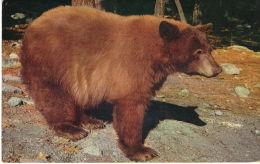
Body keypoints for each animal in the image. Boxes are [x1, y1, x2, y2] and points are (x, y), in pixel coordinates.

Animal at [20, 5, 221, 161]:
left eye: (209, 49)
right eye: (198, 51)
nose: (217, 70)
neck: (157, 55)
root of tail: (32, 25)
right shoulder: (132, 66)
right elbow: (131, 107)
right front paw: (142, 150)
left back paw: (90, 120)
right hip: (51, 60)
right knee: (54, 95)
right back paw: (71, 128)